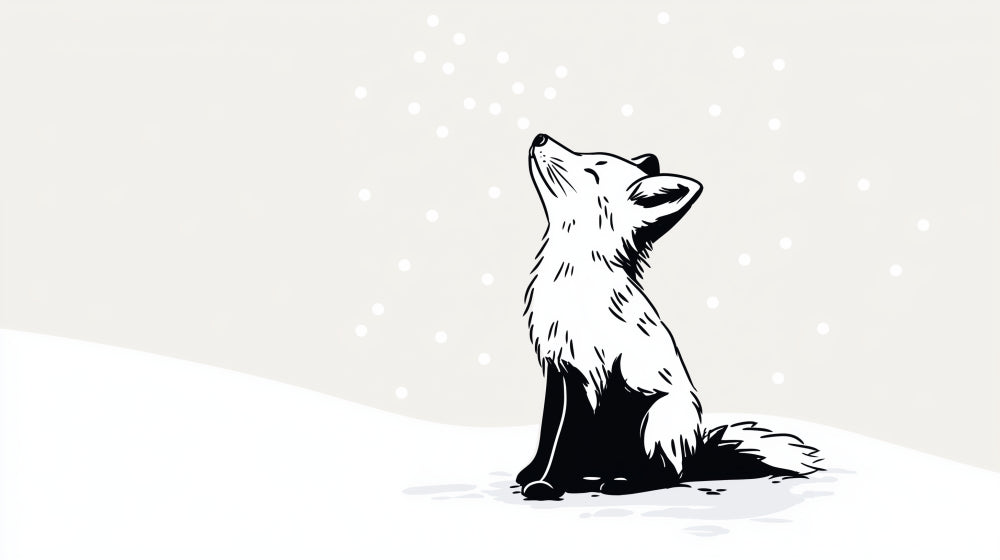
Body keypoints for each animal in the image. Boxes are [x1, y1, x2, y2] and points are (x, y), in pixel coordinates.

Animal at [517, 134, 822, 500]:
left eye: (593, 170)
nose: (540, 137)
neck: (574, 282)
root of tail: (694, 454)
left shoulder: (588, 374)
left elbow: (563, 439)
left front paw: (546, 485)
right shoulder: (559, 368)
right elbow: (548, 431)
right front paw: (531, 473)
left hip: (655, 418)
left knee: (665, 473)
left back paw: (622, 481)